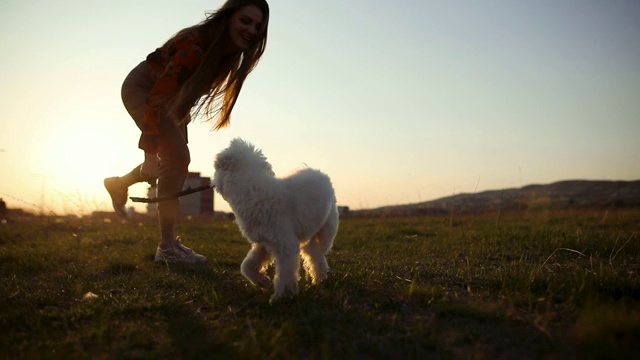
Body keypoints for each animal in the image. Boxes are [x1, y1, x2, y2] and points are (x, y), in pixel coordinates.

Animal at [214, 138, 340, 304]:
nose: (212, 183)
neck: (252, 189)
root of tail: (319, 173)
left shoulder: (285, 244)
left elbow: (285, 274)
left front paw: (282, 296)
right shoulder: (264, 242)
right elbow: (247, 265)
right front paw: (262, 281)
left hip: (327, 229)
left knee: (317, 252)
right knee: (314, 255)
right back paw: (319, 279)